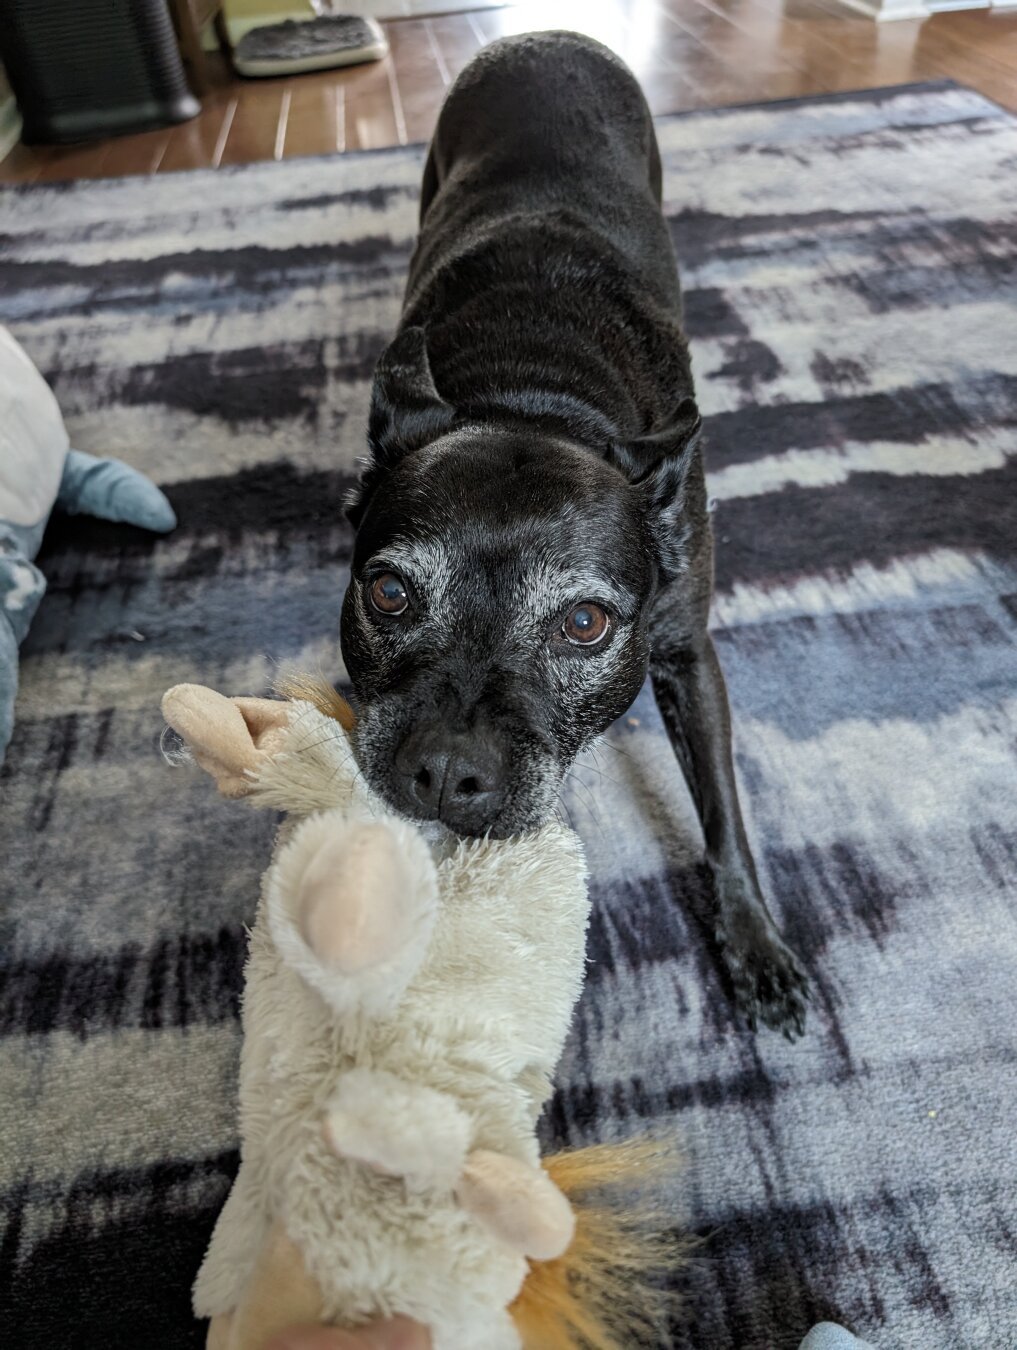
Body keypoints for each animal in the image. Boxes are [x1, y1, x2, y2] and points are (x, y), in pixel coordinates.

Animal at [345, 29, 804, 1031]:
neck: (535, 393)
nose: (446, 771)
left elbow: (724, 813)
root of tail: (543, 35)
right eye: (388, 593)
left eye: (585, 624)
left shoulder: (686, 655)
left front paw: (753, 942)